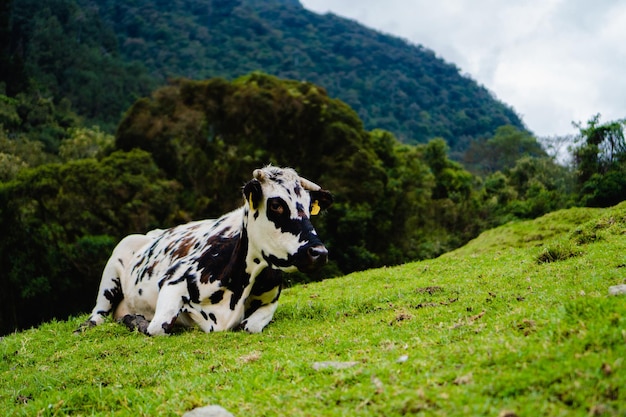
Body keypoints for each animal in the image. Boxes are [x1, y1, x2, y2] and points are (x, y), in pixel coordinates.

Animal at [77, 166, 332, 334]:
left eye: (309, 206)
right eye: (277, 204)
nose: (318, 252)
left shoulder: (270, 302)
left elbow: (250, 326)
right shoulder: (172, 282)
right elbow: (157, 327)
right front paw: (135, 320)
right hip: (112, 268)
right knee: (98, 314)